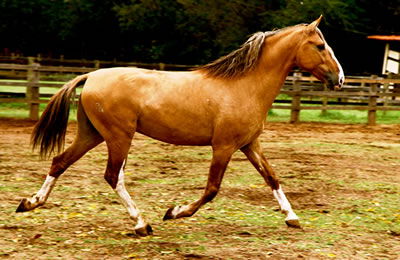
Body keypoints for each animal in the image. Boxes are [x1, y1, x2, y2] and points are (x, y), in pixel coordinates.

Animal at [15, 15, 344, 236]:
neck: (244, 86)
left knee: (60, 161)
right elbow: (211, 190)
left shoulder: (250, 144)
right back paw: (142, 223)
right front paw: (174, 212)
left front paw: (292, 217)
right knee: (112, 175)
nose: (339, 78)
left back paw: (31, 202)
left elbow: (272, 178)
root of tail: (91, 76)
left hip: (92, 134)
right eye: (320, 45)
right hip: (118, 136)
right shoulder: (223, 147)